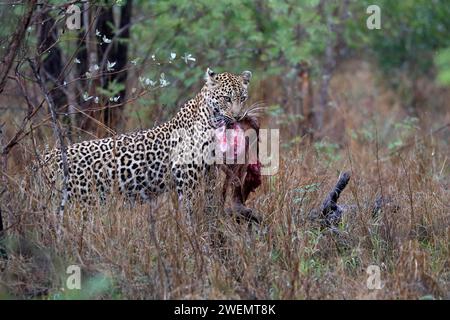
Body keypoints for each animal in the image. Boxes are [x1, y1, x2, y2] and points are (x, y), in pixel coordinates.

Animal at [41, 68, 253, 215]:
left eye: (243, 98)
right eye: (226, 98)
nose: (238, 116)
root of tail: (47, 156)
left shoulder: (208, 171)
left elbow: (209, 200)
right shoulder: (186, 173)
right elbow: (189, 206)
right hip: (80, 201)